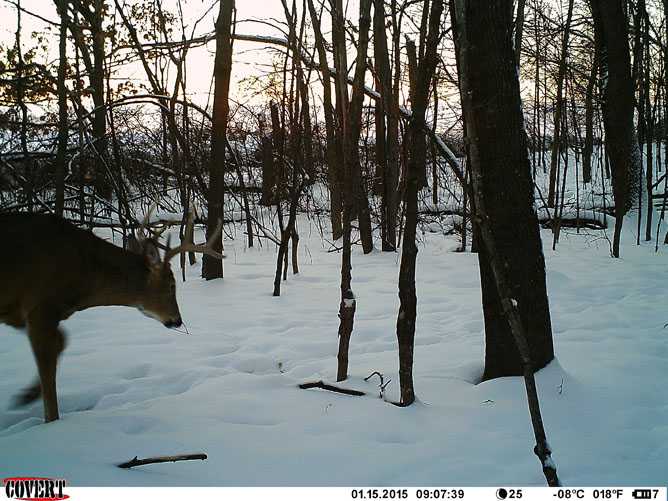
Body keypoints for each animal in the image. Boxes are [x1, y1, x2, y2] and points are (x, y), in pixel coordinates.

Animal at [0, 211, 224, 422]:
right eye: (171, 286)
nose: (177, 320)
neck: (84, 278)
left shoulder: (21, 312)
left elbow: (62, 340)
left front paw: (25, 396)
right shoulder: (40, 306)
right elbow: (49, 375)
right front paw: (49, 419)